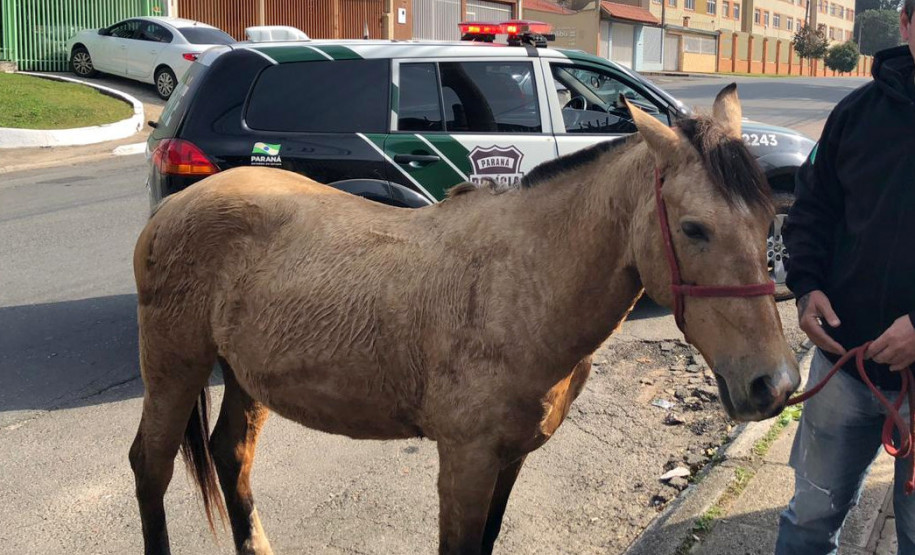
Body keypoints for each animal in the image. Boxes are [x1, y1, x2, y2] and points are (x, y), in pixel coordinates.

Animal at [129, 85, 800, 555]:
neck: (520, 288)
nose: (776, 384)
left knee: (231, 456)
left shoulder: (511, 458)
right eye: (694, 228)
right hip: (174, 367)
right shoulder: (467, 463)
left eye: (770, 220)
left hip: (246, 376)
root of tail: (171, 209)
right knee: (150, 466)